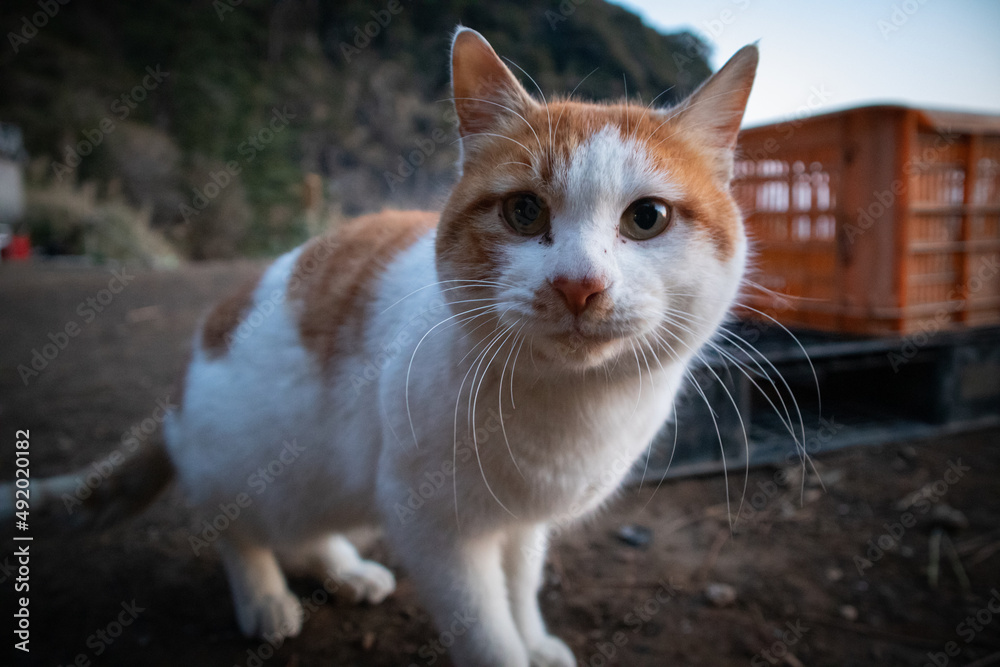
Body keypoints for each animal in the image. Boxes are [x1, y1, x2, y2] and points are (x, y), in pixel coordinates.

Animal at [11, 26, 756, 667]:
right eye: (523, 212)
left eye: (647, 218)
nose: (579, 285)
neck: (570, 410)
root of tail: (184, 381)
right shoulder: (432, 526)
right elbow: (487, 628)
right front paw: (511, 649)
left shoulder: (521, 524)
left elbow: (520, 588)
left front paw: (537, 641)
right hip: (244, 458)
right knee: (234, 525)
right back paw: (265, 598)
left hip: (320, 478)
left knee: (304, 529)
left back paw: (344, 570)